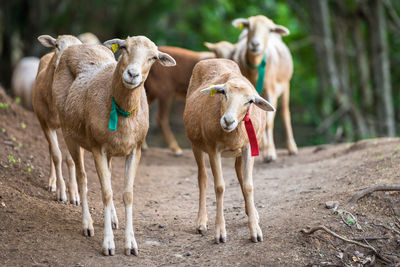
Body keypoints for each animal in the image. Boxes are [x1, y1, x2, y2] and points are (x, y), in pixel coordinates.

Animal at [31, 34, 82, 204]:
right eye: (57, 45)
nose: (62, 62)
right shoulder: (44, 122)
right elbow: (56, 155)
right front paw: (61, 193)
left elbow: (71, 159)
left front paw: (75, 195)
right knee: (51, 149)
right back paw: (52, 183)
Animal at [51, 36, 175, 258]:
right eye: (124, 47)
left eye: (153, 57)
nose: (132, 74)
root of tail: (80, 45)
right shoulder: (97, 147)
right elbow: (106, 192)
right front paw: (108, 244)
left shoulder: (135, 149)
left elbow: (127, 193)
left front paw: (131, 245)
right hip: (69, 132)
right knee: (82, 177)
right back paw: (87, 225)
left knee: (106, 175)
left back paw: (114, 219)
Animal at [184, 58, 276, 243]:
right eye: (223, 92)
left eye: (250, 101)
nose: (228, 120)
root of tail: (213, 59)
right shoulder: (213, 149)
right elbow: (219, 186)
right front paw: (220, 233)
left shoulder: (248, 147)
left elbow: (248, 185)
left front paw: (255, 231)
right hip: (195, 144)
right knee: (202, 177)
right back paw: (201, 222)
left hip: (238, 152)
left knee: (239, 174)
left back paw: (252, 212)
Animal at [230, 16, 298, 163]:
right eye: (248, 26)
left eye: (270, 30)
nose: (255, 44)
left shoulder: (271, 91)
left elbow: (269, 122)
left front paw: (270, 153)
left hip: (286, 84)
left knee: (285, 113)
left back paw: (291, 147)